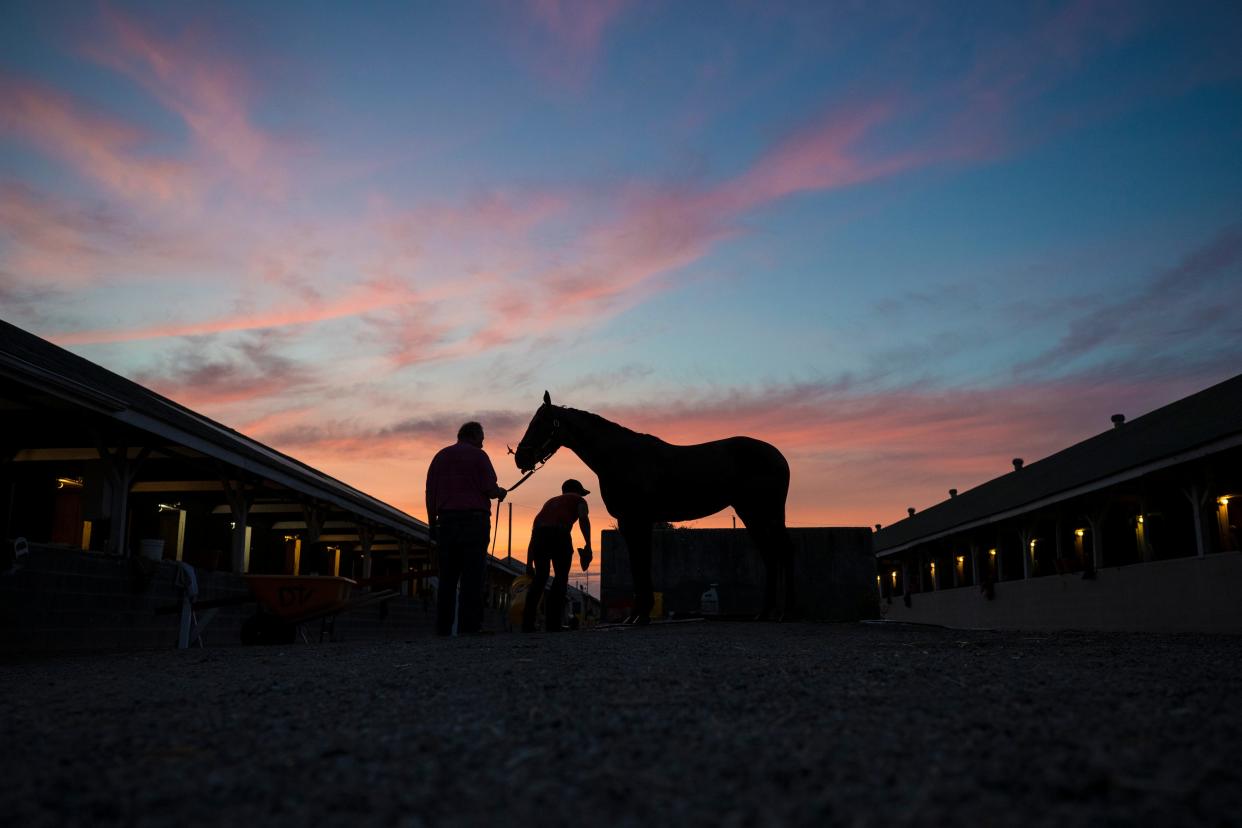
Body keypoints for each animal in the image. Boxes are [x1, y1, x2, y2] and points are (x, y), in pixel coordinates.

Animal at [514, 394, 794, 620]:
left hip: (765, 513)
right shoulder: (629, 521)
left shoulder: (638, 519)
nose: (520, 457)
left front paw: (641, 614)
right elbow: (638, 564)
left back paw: (784, 613)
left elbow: (641, 563)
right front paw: (637, 614)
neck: (621, 457)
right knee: (770, 555)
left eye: (539, 423)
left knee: (780, 552)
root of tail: (778, 456)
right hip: (751, 514)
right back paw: (765, 612)